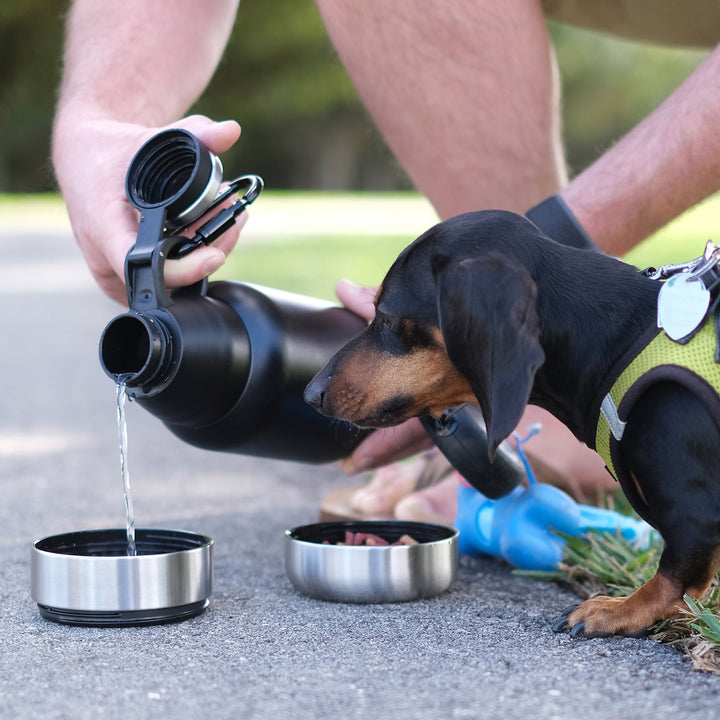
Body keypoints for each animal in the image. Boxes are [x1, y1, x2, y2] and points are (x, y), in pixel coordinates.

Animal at [304, 210, 720, 640]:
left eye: (385, 316)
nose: (310, 393)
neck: (619, 342)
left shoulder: (695, 516)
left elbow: (673, 581)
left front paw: (617, 609)